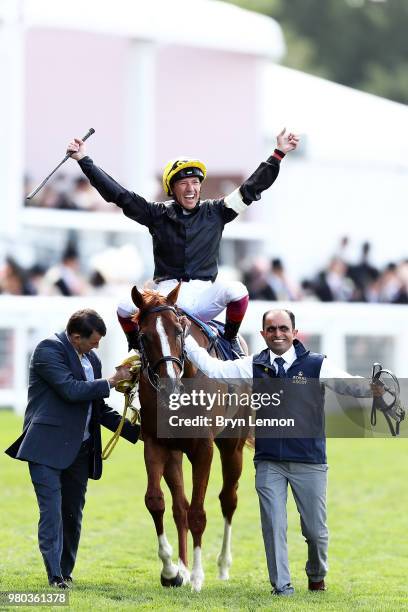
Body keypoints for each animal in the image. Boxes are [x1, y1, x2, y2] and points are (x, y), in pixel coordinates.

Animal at [132, 284, 250, 592]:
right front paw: (171, 570)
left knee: (228, 498)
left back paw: (222, 565)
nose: (170, 384)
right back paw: (182, 569)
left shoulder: (203, 448)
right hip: (175, 452)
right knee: (179, 507)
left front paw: (197, 576)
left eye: (178, 330)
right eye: (143, 336)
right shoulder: (155, 444)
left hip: (232, 445)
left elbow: (198, 512)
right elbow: (156, 501)